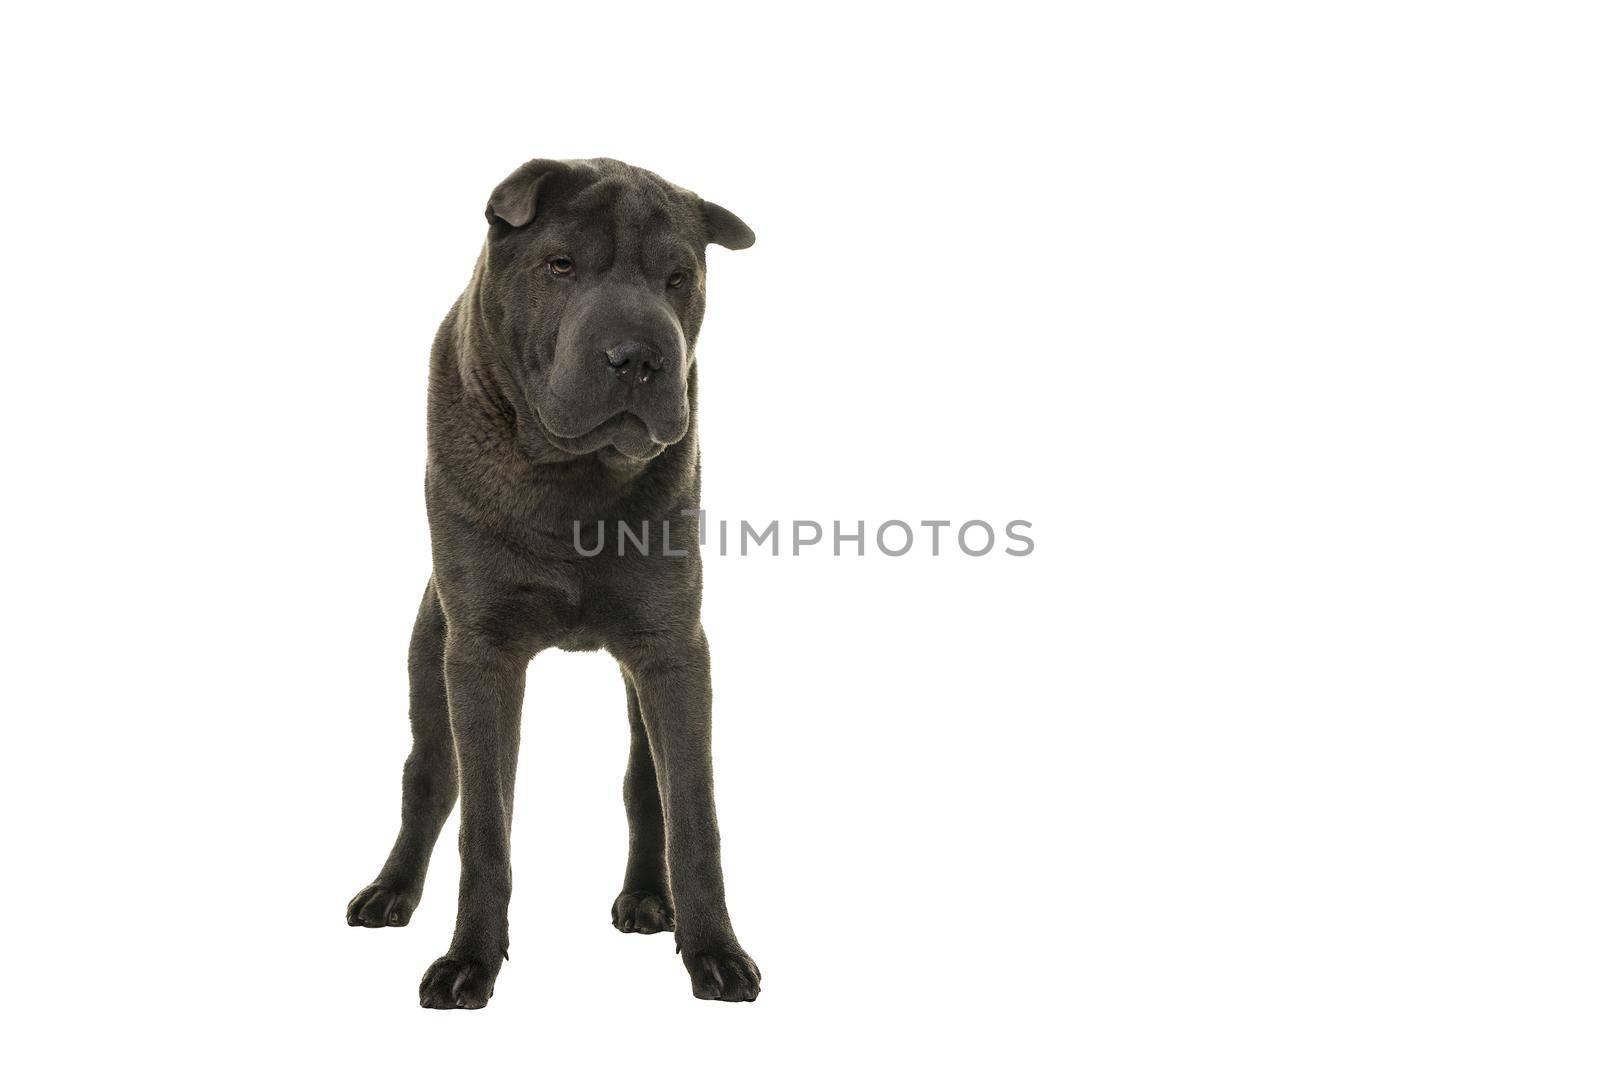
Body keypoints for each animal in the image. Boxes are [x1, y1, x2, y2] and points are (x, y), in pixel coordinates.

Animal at [347, 156, 758, 1011]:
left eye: (679, 277)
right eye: (561, 265)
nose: (639, 356)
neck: (574, 481)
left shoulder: (674, 651)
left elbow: (692, 810)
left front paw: (715, 952)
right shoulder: (480, 653)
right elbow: (484, 822)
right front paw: (469, 960)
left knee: (644, 782)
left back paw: (647, 898)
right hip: (431, 657)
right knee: (430, 776)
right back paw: (390, 891)